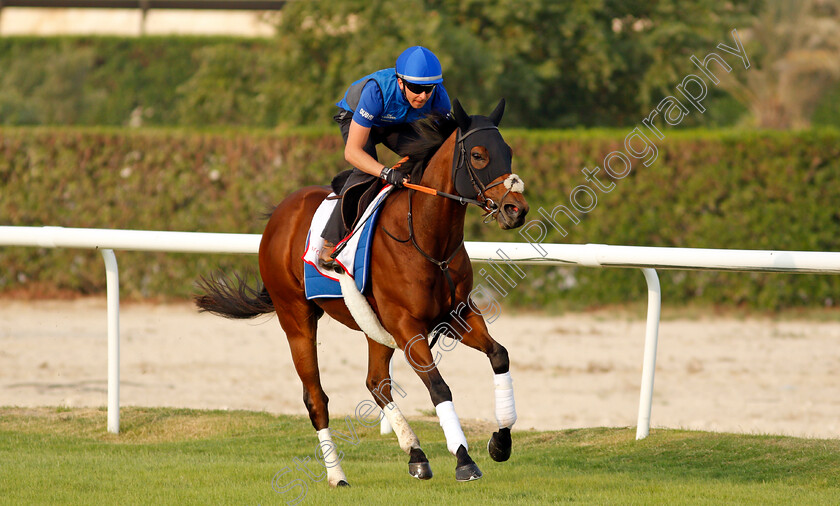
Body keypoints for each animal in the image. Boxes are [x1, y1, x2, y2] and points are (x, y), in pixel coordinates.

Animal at [194, 98, 528, 486]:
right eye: (477, 155)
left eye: (508, 151)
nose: (516, 209)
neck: (427, 237)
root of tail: (279, 214)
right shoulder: (407, 325)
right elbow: (439, 387)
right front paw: (463, 458)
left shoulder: (455, 314)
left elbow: (499, 355)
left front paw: (500, 442)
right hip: (296, 318)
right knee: (316, 398)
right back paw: (336, 474)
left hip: (373, 326)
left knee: (376, 383)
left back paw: (415, 454)